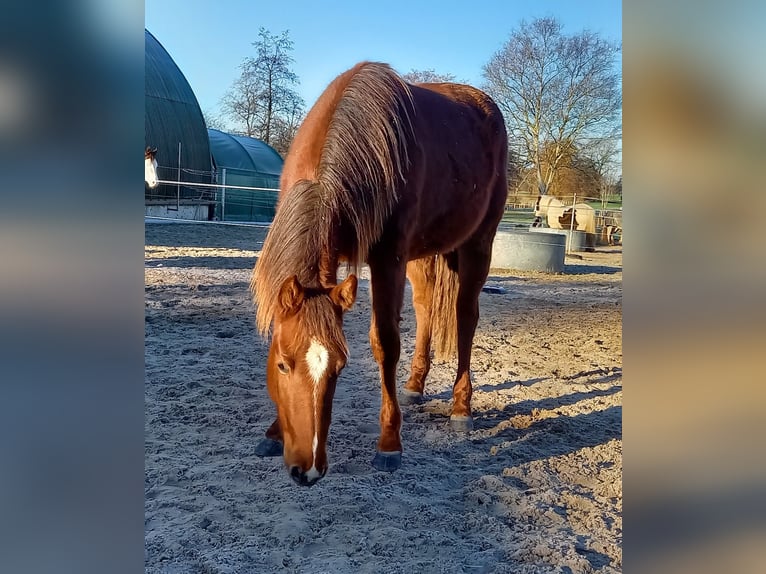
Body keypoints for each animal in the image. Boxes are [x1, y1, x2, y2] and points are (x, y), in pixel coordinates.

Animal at [250, 62, 510, 486]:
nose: (308, 469)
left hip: (477, 245)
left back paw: (461, 407)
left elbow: (385, 344)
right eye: (283, 364)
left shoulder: (388, 258)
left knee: (465, 316)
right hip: (422, 256)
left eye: (340, 366)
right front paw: (273, 433)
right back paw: (415, 385)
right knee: (425, 310)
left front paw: (389, 443)